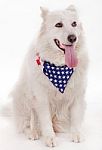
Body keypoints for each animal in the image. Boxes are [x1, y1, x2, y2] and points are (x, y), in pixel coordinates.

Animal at [11, 5, 88, 147]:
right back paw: (33, 132)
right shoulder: (41, 98)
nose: (73, 38)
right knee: (26, 123)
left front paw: (76, 134)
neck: (60, 66)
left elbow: (75, 118)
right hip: (23, 97)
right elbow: (45, 121)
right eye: (58, 24)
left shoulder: (77, 95)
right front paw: (50, 138)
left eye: (74, 24)